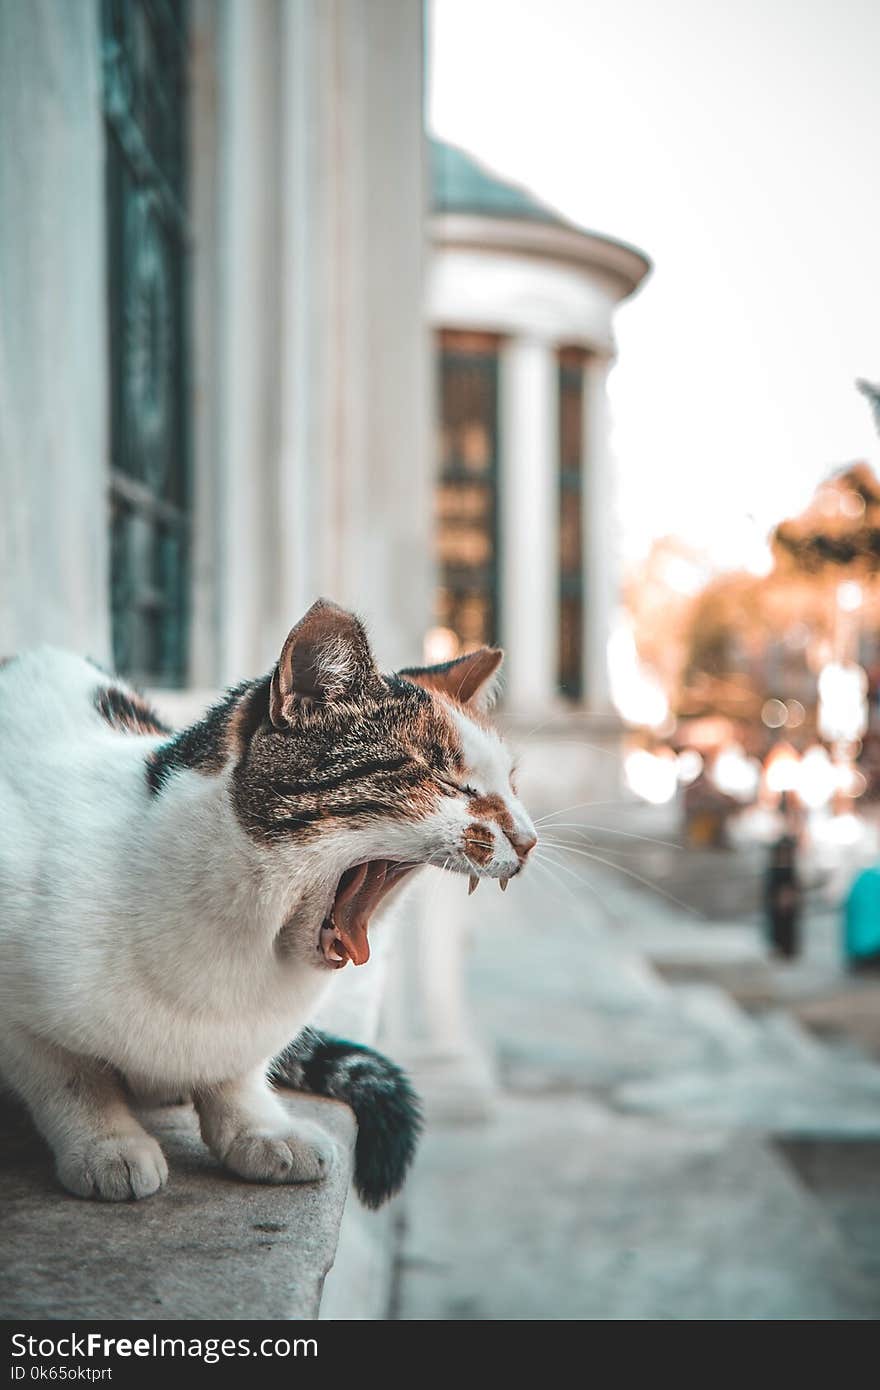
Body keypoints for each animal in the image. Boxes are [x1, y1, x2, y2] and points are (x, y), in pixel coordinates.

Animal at [0, 603, 536, 1200]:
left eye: (512, 785)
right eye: (449, 781)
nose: (528, 839)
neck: (240, 946)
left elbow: (236, 1075)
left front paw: (258, 1131)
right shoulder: (17, 1016)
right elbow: (68, 1078)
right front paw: (106, 1144)